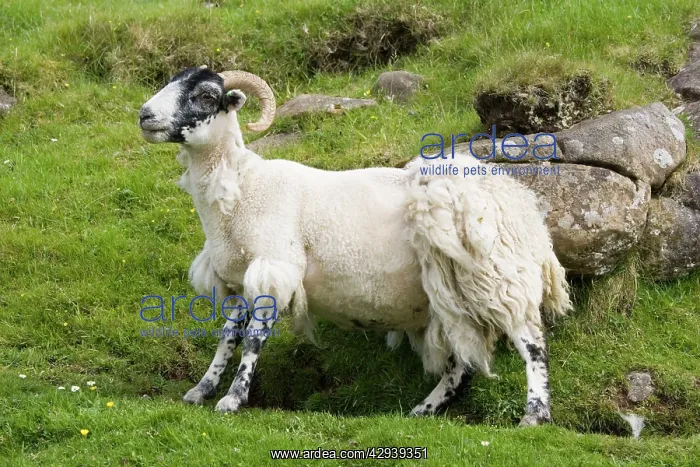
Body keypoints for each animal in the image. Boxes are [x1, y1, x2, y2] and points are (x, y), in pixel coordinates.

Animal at [138, 66, 572, 425]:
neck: (241, 188)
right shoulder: (238, 277)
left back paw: (535, 414)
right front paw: (202, 389)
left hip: (497, 276)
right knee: (461, 362)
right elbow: (227, 337)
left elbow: (252, 340)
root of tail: (521, 203)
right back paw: (424, 409)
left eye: (207, 95)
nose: (144, 115)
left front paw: (233, 398)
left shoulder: (274, 266)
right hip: (453, 294)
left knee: (532, 341)